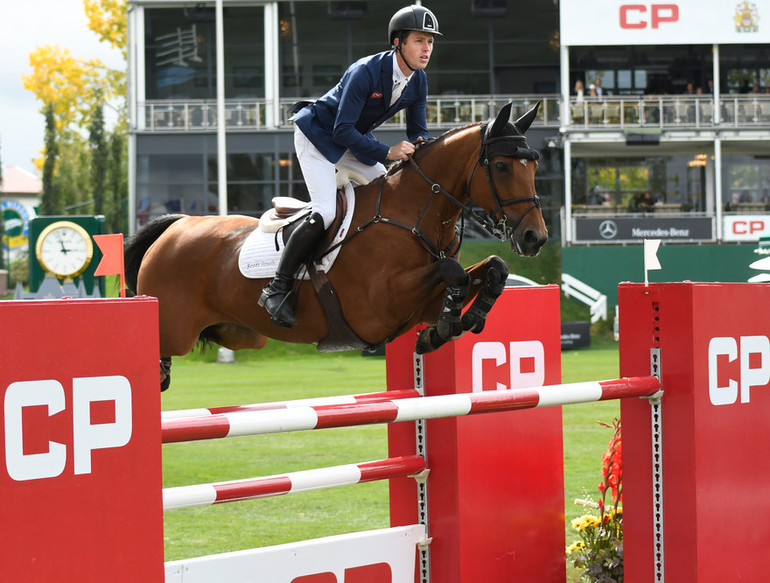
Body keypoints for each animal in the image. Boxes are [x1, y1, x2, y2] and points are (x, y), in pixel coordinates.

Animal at [124, 102, 544, 390]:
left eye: (535, 166)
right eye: (502, 166)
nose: (534, 238)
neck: (412, 214)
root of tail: (176, 227)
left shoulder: (419, 304)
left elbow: (493, 267)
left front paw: (459, 323)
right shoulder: (380, 306)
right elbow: (453, 270)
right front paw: (445, 328)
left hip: (239, 333)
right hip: (173, 330)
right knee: (161, 365)